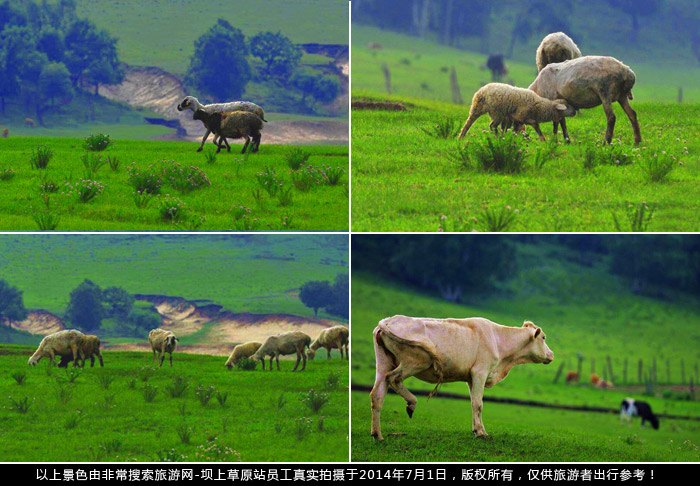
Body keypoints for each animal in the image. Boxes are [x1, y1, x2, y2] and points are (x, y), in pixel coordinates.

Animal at [370, 316, 556, 440]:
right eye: (544, 337)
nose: (552, 355)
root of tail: (387, 321)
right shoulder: (480, 372)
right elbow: (478, 404)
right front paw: (481, 433)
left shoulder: (471, 378)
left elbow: (473, 403)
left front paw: (476, 429)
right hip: (415, 361)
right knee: (393, 378)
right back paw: (411, 403)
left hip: (384, 363)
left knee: (377, 395)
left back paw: (377, 434)